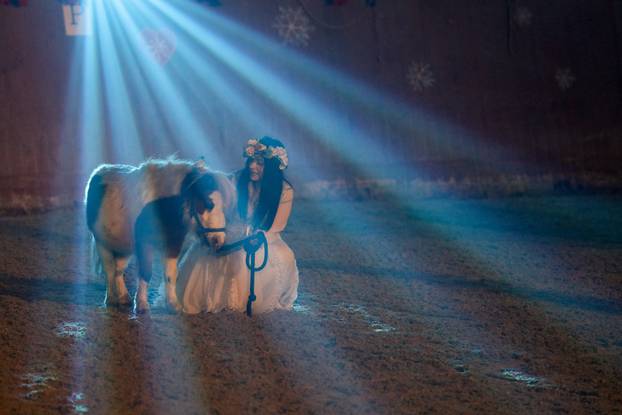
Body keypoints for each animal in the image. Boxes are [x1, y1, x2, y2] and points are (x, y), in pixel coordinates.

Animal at [85, 158, 236, 312]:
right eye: (209, 203)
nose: (218, 240)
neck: (161, 205)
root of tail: (100, 171)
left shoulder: (174, 244)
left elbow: (171, 273)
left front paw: (173, 304)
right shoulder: (145, 244)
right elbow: (146, 272)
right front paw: (142, 305)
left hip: (123, 246)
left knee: (118, 270)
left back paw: (124, 297)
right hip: (102, 242)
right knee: (109, 270)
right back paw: (110, 299)